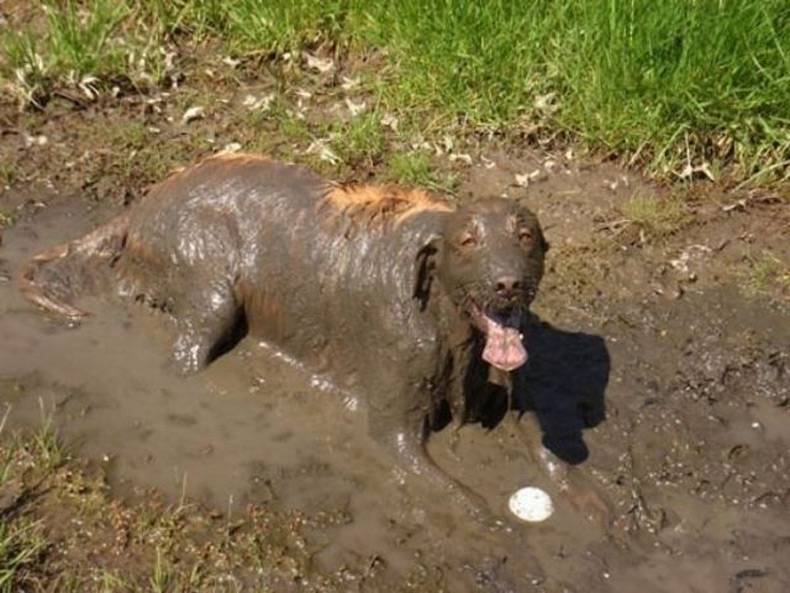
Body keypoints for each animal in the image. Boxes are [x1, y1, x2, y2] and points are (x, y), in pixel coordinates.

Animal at [21, 155, 608, 524]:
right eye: (468, 241)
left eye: (525, 237)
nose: (508, 283)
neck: (450, 322)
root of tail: (142, 201)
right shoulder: (397, 389)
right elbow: (451, 487)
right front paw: (490, 517)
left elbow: (543, 438)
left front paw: (587, 499)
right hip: (209, 283)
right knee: (186, 353)